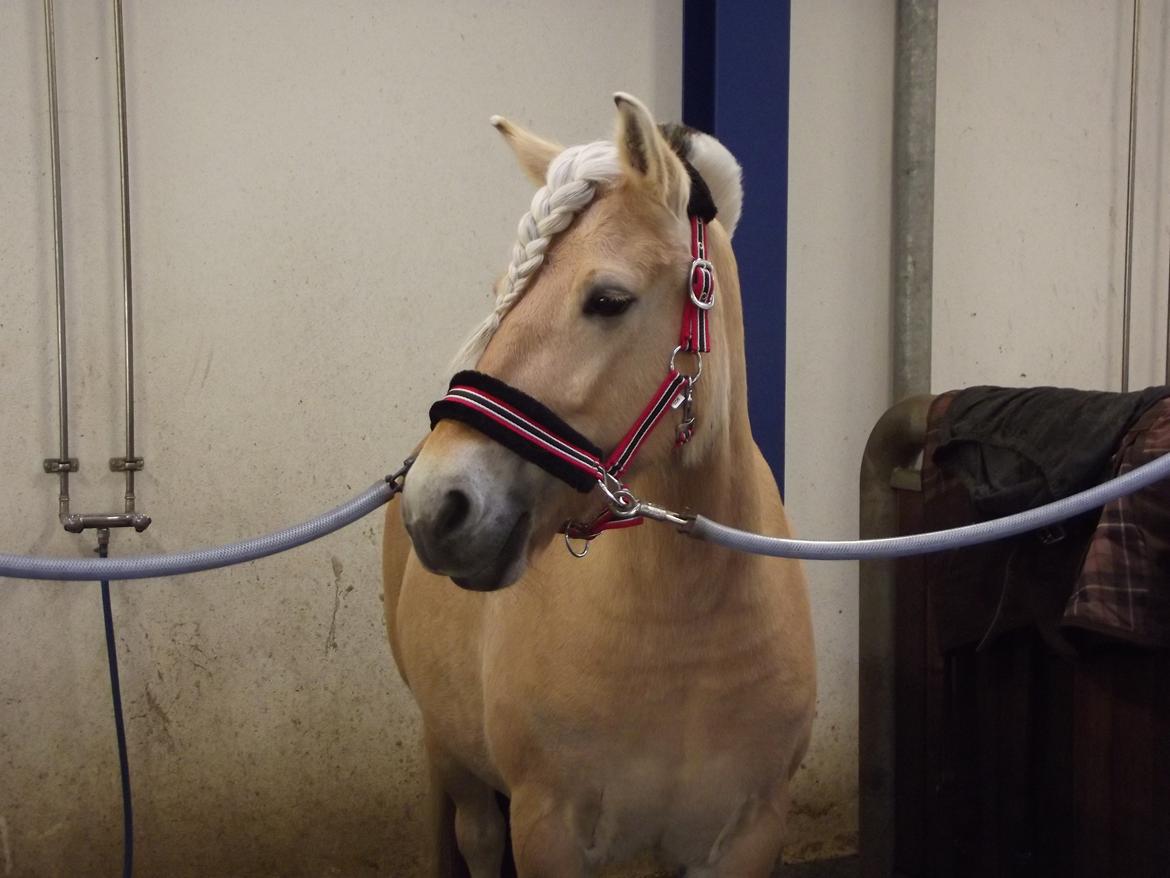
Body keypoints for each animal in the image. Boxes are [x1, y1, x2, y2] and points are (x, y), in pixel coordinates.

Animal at [382, 93, 815, 878]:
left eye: (609, 299)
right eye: (502, 295)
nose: (438, 505)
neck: (682, 625)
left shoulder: (745, 835)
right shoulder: (547, 828)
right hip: (454, 757)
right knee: (477, 837)